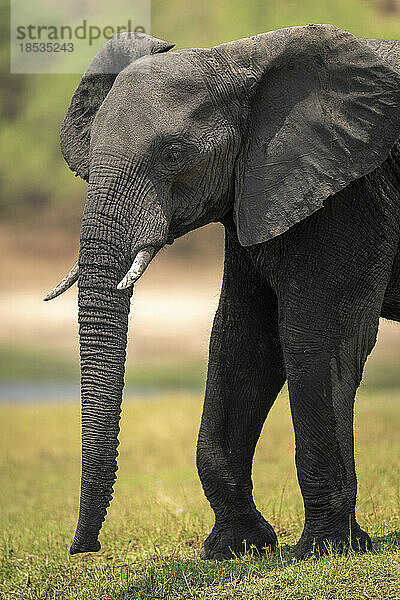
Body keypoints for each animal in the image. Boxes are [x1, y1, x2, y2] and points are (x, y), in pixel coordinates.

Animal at [44, 22, 400, 556]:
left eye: (175, 156)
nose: (83, 548)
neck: (238, 61)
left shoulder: (351, 190)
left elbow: (316, 338)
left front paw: (324, 552)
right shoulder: (257, 190)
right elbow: (242, 340)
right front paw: (237, 548)